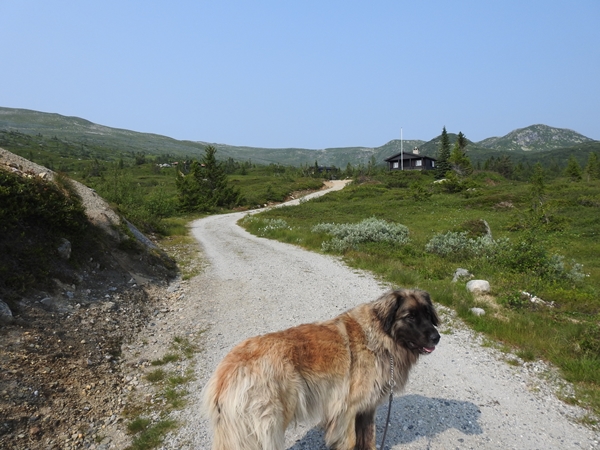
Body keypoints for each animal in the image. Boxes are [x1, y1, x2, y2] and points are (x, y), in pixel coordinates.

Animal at [204, 290, 438, 448]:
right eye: (410, 316)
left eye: (428, 315)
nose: (437, 337)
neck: (380, 337)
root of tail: (228, 368)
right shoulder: (347, 410)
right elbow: (351, 441)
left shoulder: (367, 408)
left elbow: (369, 439)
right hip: (270, 425)